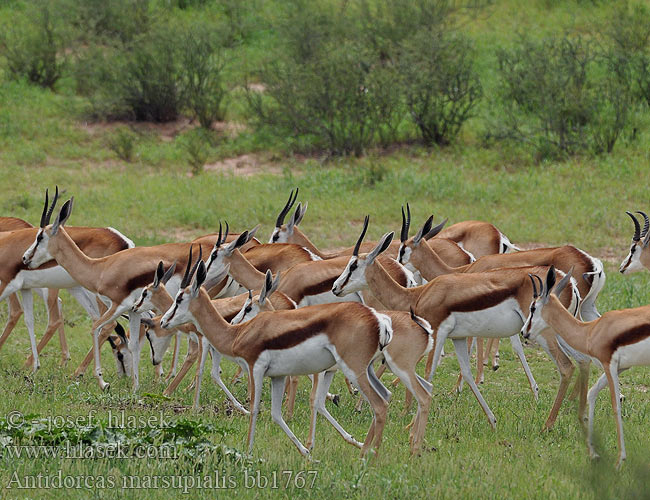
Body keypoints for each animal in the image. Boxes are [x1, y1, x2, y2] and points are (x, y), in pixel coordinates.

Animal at [161, 258, 394, 458]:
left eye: (179, 298)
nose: (163, 321)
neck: (238, 334)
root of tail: (378, 319)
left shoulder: (255, 369)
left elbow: (254, 408)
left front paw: (248, 452)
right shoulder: (278, 376)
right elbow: (276, 414)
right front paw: (306, 453)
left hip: (353, 370)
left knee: (378, 405)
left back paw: (367, 459)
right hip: (365, 370)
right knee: (385, 396)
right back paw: (365, 450)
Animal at [520, 268, 648, 466]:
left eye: (533, 308)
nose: (523, 332)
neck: (590, 331)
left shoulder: (609, 365)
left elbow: (615, 406)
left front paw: (619, 461)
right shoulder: (620, 368)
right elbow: (592, 393)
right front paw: (593, 453)